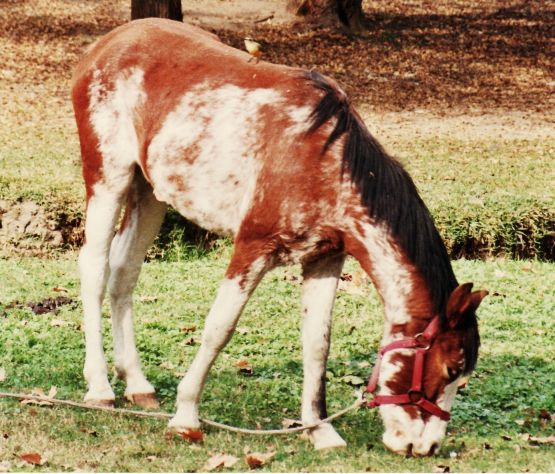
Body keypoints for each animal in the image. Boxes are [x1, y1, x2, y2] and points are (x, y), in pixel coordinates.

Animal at [71, 19, 488, 456]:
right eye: (452, 368)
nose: (425, 447)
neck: (324, 160)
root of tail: (105, 45)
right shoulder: (253, 247)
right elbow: (219, 328)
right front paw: (186, 417)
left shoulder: (324, 259)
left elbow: (317, 343)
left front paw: (320, 430)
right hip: (108, 178)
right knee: (95, 270)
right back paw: (100, 388)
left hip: (150, 192)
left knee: (124, 272)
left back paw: (137, 383)